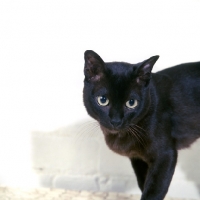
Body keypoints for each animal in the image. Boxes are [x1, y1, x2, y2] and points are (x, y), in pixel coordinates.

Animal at [82, 50, 200, 200]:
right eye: (103, 100)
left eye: (131, 103)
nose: (116, 121)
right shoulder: (138, 159)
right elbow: (143, 184)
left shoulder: (165, 156)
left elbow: (153, 191)